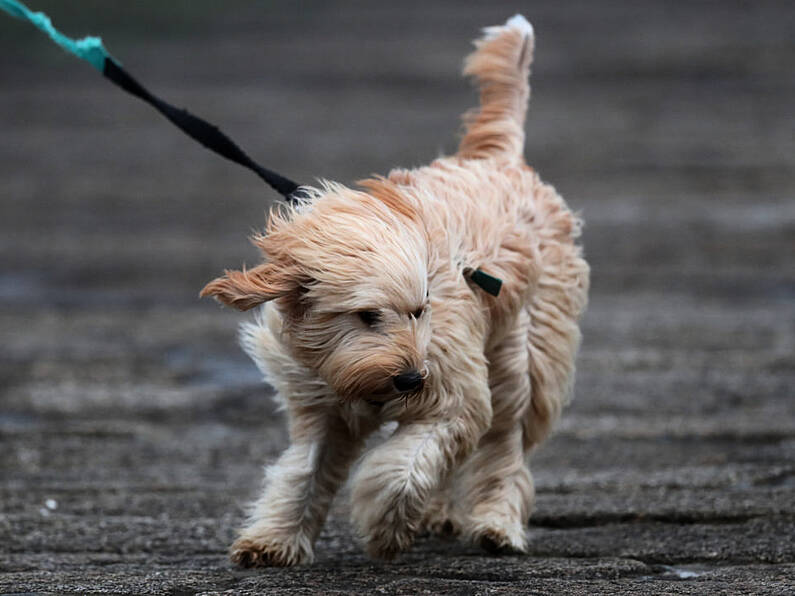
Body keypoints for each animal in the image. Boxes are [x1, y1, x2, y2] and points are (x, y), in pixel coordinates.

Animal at [204, 12, 592, 564]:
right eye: (367, 315)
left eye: (419, 310)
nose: (411, 379)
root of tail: (498, 160)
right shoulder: (323, 407)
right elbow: (304, 472)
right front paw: (275, 539)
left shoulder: (452, 394)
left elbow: (407, 468)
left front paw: (386, 526)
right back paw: (440, 515)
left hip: (523, 356)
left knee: (504, 444)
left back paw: (495, 524)